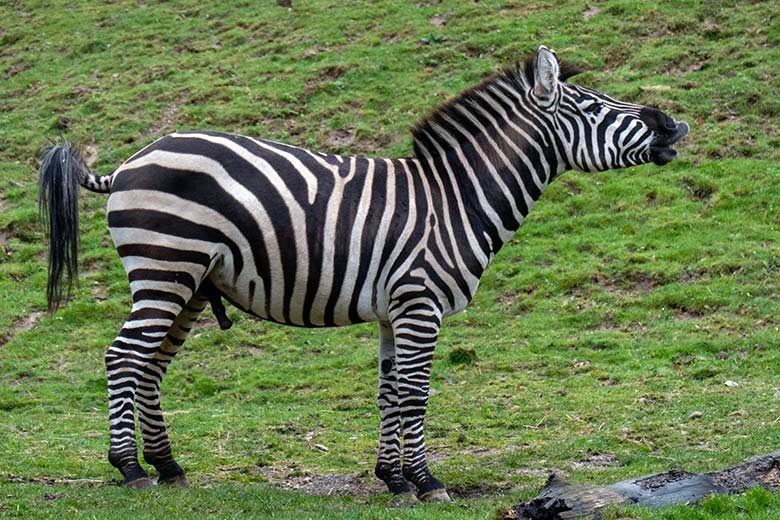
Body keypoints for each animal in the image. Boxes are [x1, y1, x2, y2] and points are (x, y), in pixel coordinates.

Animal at [38, 46, 688, 502]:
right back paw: (129, 469)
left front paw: (392, 479)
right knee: (123, 357)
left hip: (193, 283)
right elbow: (416, 394)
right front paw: (428, 483)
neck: (455, 200)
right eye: (597, 107)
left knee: (149, 366)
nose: (676, 126)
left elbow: (389, 392)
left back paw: (168, 467)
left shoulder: (392, 311)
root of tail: (130, 161)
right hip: (165, 267)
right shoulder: (421, 305)